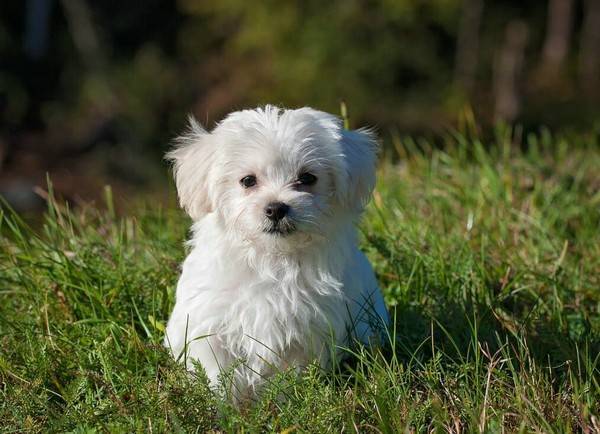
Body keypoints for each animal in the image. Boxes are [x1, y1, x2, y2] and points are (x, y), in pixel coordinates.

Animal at [163, 106, 390, 400]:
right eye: (248, 181)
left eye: (307, 178)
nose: (276, 208)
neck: (271, 258)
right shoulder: (210, 324)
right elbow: (217, 372)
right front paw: (224, 405)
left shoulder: (306, 331)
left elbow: (290, 374)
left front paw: (283, 401)